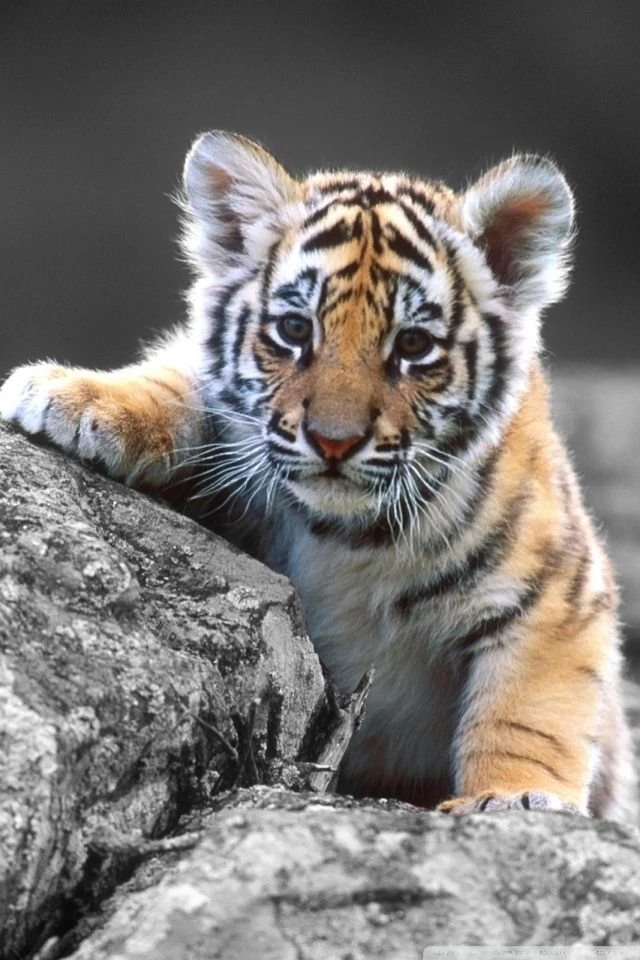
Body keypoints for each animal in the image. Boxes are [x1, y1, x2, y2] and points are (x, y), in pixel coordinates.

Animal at [1, 131, 635, 820]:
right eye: (294, 329)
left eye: (413, 345)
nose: (334, 441)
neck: (349, 536)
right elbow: (180, 380)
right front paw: (72, 396)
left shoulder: (558, 594)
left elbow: (527, 713)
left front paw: (514, 798)